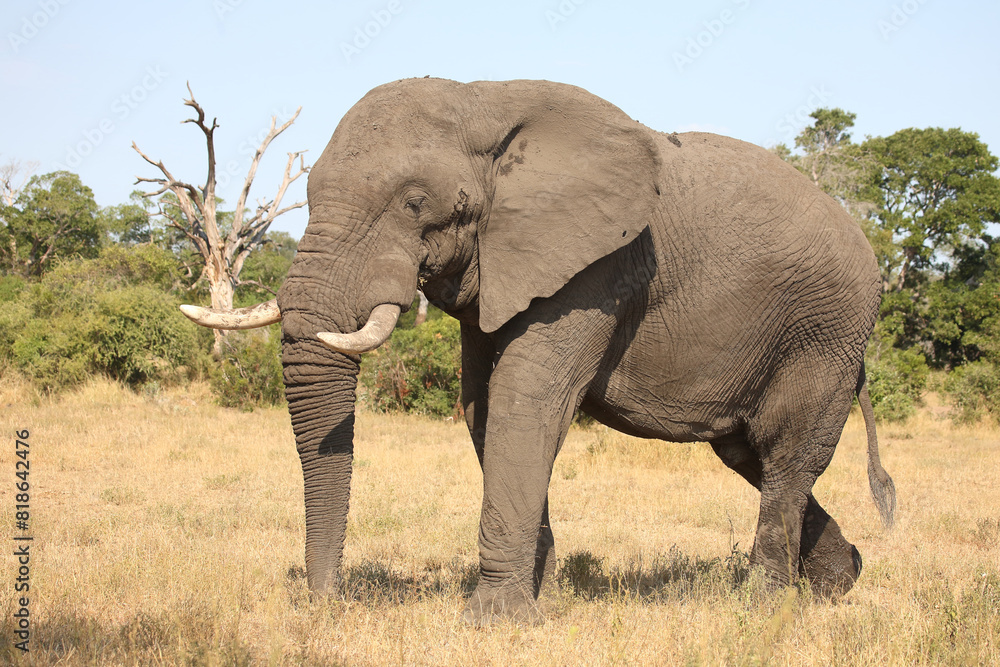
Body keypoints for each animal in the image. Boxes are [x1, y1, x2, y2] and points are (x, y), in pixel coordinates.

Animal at [180, 77, 896, 626]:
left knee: (785, 452)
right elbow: (483, 408)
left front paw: (494, 621)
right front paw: (541, 601)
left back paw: (764, 607)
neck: (482, 100)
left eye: (415, 203)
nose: (329, 603)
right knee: (748, 452)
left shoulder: (596, 268)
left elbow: (527, 401)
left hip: (826, 330)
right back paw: (840, 580)